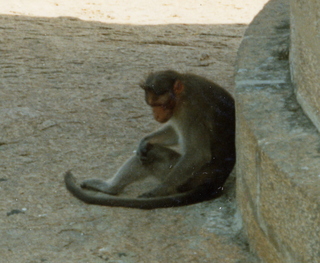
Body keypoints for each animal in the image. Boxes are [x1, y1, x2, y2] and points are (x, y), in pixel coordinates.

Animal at [65, 70, 235, 210]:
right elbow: (174, 133)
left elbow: (198, 154)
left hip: (188, 179)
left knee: (153, 155)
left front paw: (160, 190)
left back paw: (112, 188)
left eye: (161, 105)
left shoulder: (190, 111)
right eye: (152, 105)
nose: (156, 115)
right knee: (146, 154)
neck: (184, 89)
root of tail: (214, 182)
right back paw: (109, 187)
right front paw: (146, 140)